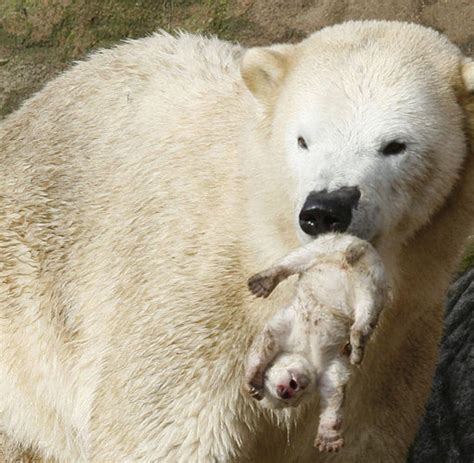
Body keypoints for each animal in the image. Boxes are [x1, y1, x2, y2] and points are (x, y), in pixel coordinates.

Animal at [243, 234, 390, 452]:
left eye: (270, 377)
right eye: (287, 401)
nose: (285, 390)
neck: (307, 352)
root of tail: (360, 249)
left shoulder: (288, 329)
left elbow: (266, 342)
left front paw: (252, 382)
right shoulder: (330, 365)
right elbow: (334, 392)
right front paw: (329, 438)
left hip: (331, 246)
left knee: (297, 259)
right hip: (370, 284)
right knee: (366, 309)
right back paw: (357, 343)